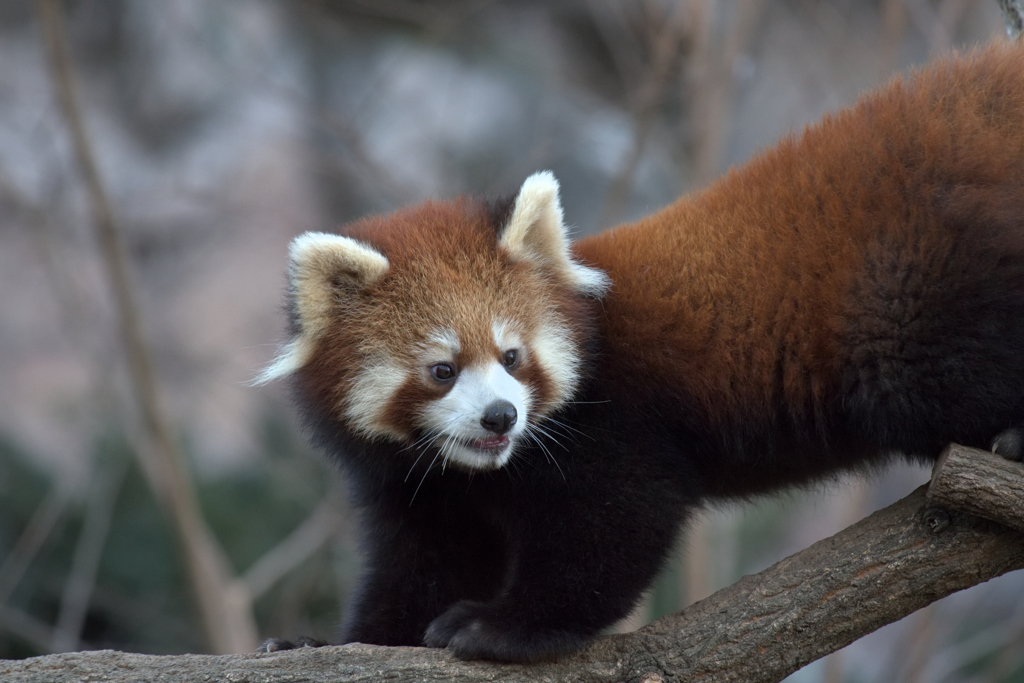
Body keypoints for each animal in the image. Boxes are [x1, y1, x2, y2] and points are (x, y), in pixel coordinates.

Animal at [260, 41, 1024, 663]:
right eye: (442, 371)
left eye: (512, 357)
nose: (501, 417)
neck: (490, 470)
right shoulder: (421, 488)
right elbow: (423, 569)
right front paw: (322, 643)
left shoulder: (615, 423)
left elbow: (614, 528)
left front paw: (502, 626)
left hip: (913, 295)